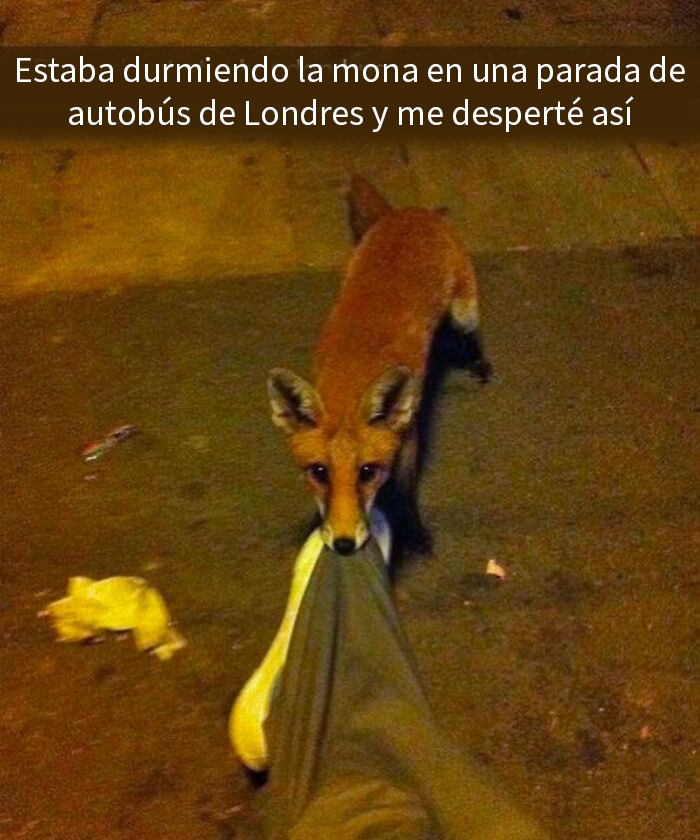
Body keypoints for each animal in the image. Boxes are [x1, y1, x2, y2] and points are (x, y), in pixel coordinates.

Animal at [267, 177, 489, 556]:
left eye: (368, 472)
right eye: (319, 472)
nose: (343, 544)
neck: (353, 374)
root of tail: (406, 213)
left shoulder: (408, 436)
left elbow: (404, 489)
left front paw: (413, 532)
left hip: (465, 311)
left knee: (467, 331)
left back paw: (476, 361)